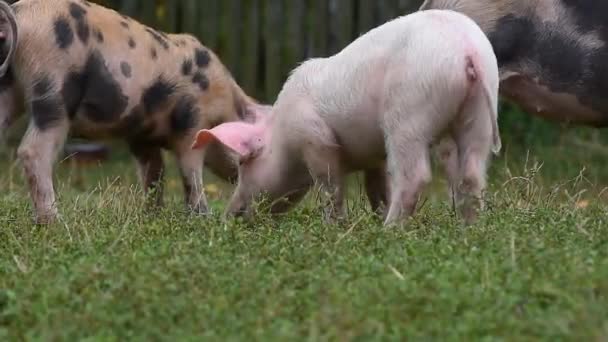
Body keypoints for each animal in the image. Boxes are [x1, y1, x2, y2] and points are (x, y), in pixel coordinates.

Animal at [0, 0, 268, 224]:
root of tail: (19, 14)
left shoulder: (141, 135)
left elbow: (154, 173)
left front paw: (152, 215)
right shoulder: (191, 122)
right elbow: (190, 172)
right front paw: (203, 217)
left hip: (9, 87)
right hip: (53, 87)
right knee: (32, 151)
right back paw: (55, 223)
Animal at [192, 9, 502, 226]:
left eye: (243, 163)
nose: (230, 217)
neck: (281, 135)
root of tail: (467, 50)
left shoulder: (315, 138)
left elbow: (330, 186)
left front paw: (334, 227)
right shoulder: (375, 157)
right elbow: (376, 187)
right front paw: (374, 215)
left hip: (409, 111)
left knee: (415, 175)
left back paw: (389, 231)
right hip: (479, 112)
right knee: (472, 174)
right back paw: (468, 229)